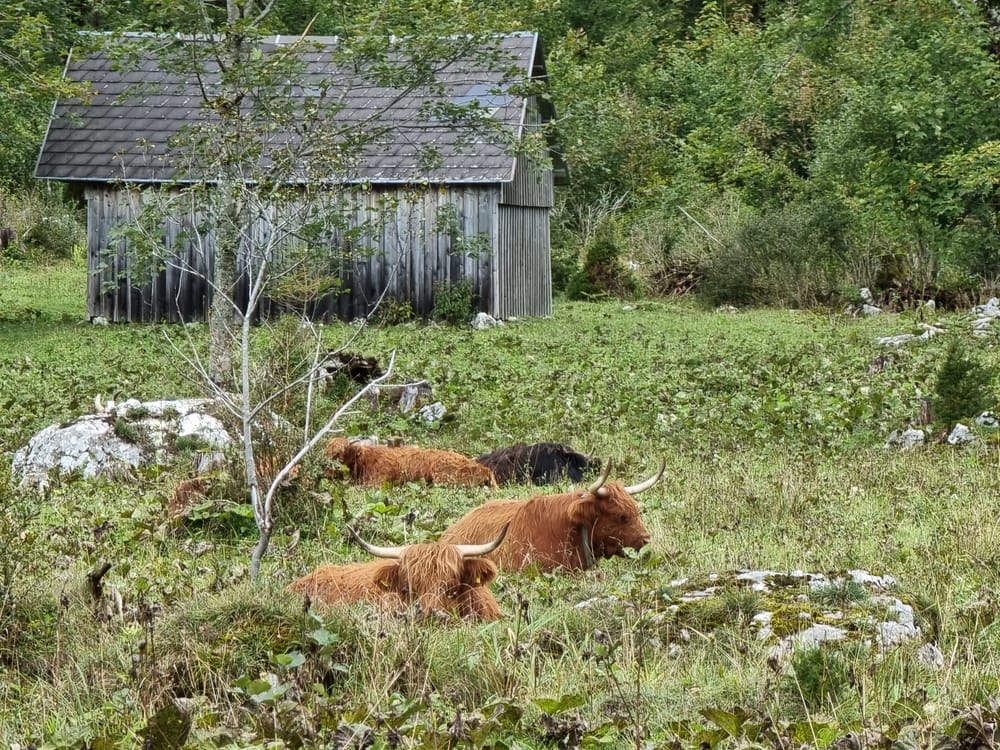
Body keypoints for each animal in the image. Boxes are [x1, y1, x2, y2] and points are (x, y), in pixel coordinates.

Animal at [324, 438, 498, 488]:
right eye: (325, 453)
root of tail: (484, 469)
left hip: (442, 476)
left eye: (338, 456)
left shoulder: (376, 482)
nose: (325, 473)